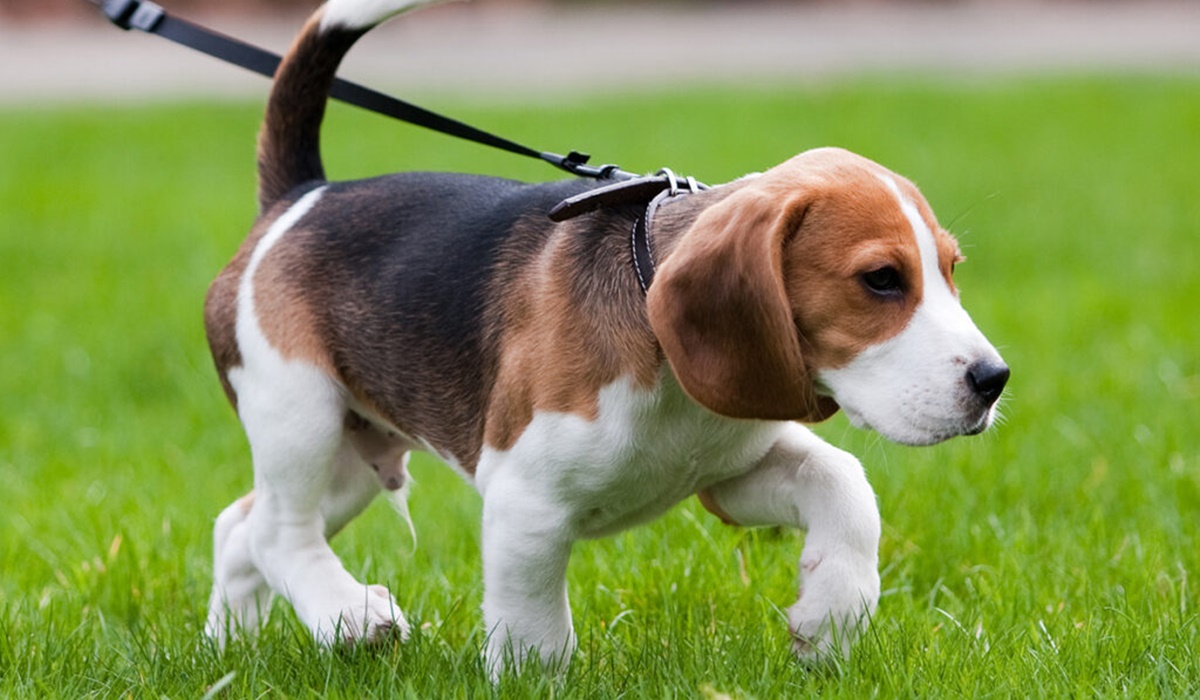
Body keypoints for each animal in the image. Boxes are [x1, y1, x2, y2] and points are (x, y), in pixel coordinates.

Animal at [201, 0, 1008, 677]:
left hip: (354, 455)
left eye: (951, 270)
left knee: (240, 526)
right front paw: (531, 681)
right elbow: (534, 634)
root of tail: (302, 198)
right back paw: (349, 614)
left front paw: (831, 617)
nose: (993, 381)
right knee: (279, 533)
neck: (673, 379)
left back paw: (228, 648)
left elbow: (843, 483)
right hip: (299, 413)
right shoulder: (525, 502)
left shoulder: (731, 472)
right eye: (881, 280)